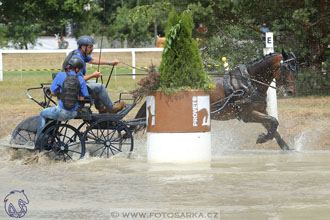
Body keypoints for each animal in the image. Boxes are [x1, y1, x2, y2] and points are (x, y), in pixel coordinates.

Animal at [134, 50, 296, 150]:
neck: (249, 81)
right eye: (286, 68)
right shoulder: (247, 115)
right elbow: (274, 121)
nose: (291, 91)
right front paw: (262, 138)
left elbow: (273, 127)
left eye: (295, 69)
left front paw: (285, 147)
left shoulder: (259, 111)